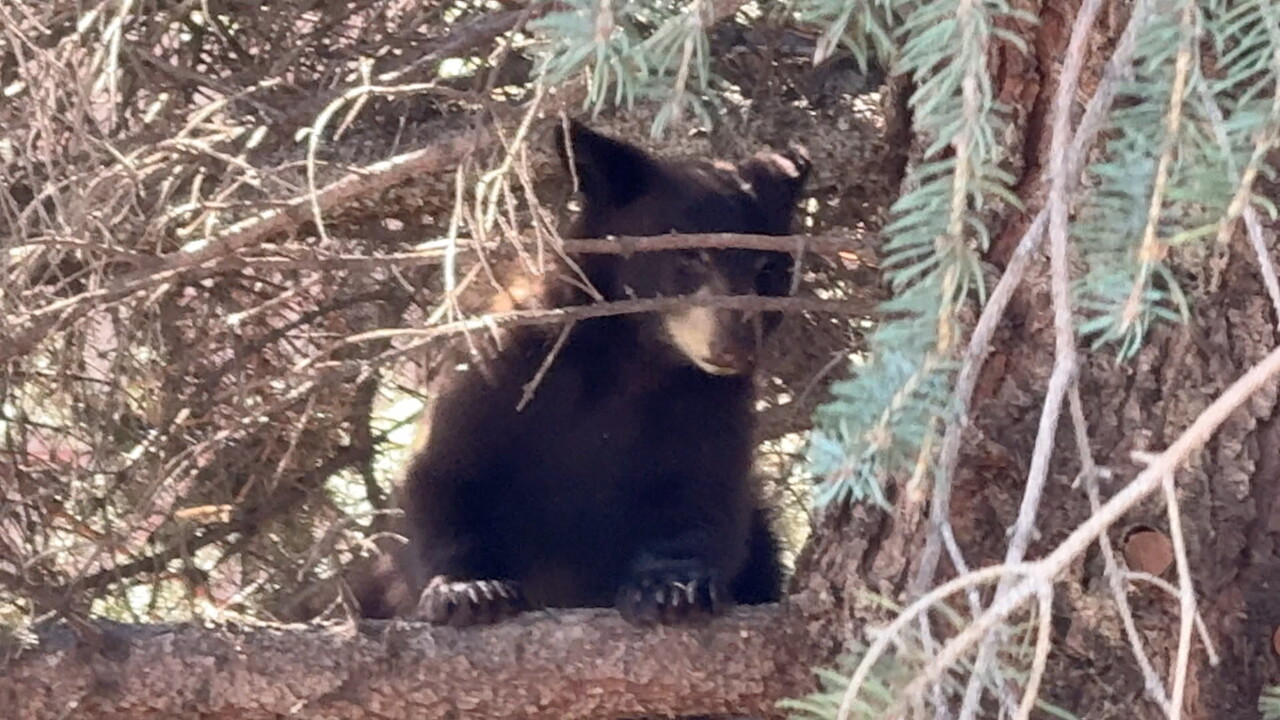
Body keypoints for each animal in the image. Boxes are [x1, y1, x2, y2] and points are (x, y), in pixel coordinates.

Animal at [397, 120, 811, 627]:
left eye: (767, 266)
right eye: (689, 255)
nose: (737, 346)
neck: (633, 359)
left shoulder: (709, 400)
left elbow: (704, 496)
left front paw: (673, 586)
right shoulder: (508, 362)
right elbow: (442, 470)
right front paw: (468, 588)